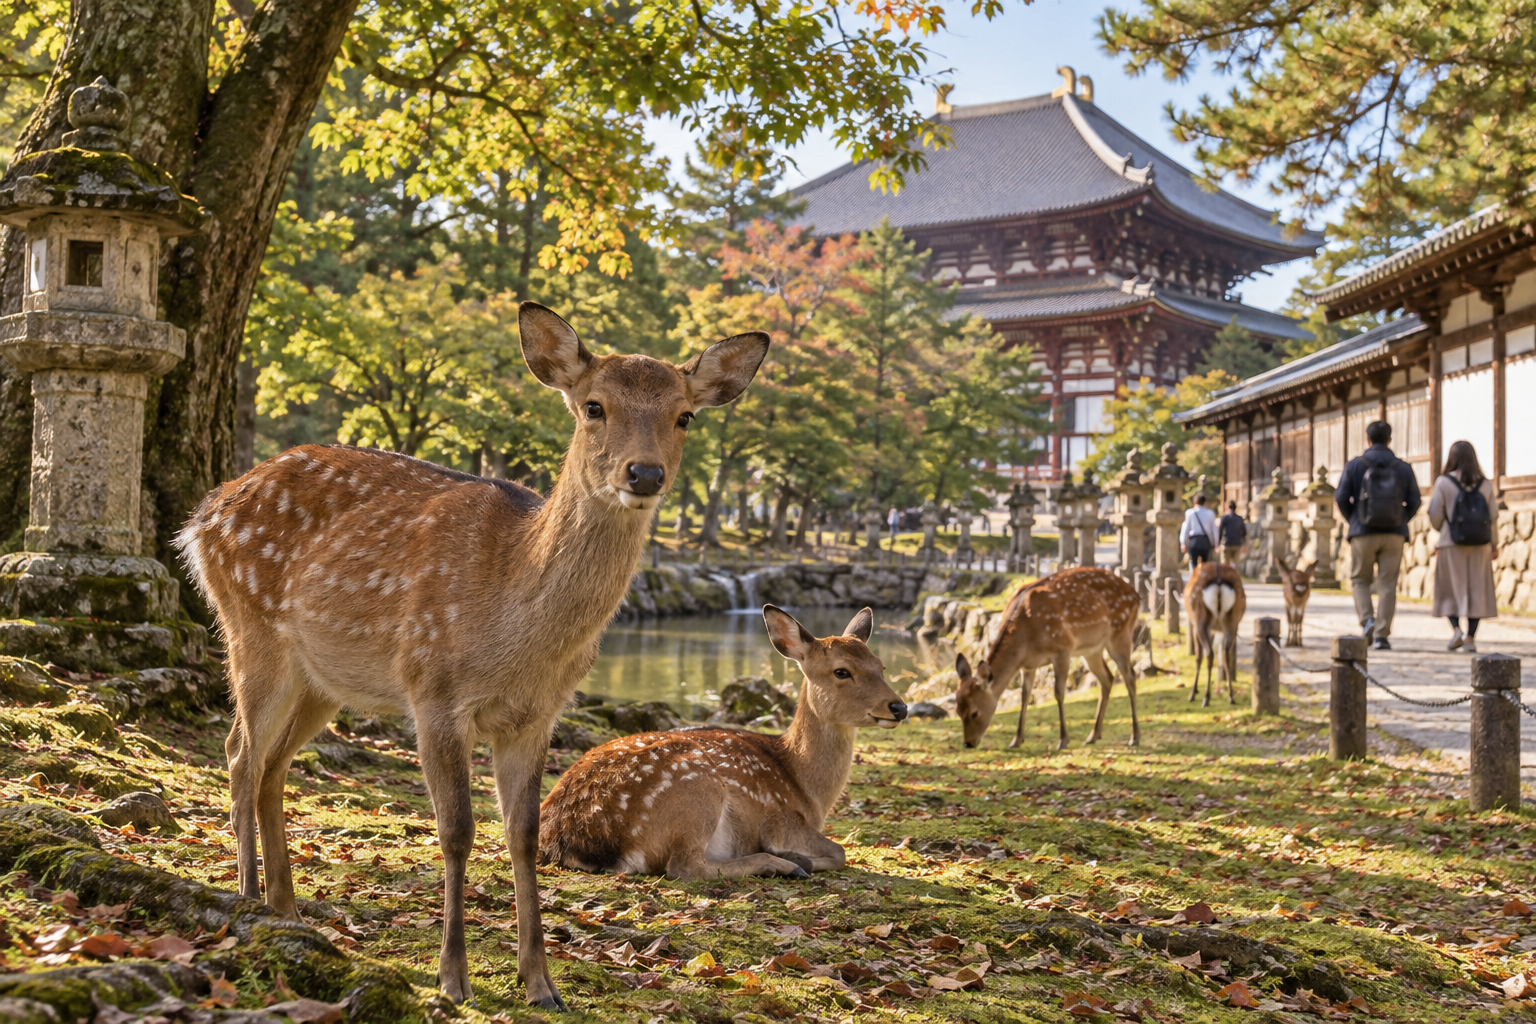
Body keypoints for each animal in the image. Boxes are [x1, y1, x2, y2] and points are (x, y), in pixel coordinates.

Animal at [173, 303, 768, 1010]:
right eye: (593, 406)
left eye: (685, 415)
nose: (644, 473)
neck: (513, 629)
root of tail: (202, 516)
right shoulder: (433, 691)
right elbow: (456, 831)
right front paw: (452, 979)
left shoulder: (536, 716)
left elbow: (524, 834)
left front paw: (540, 982)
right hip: (252, 630)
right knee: (239, 750)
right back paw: (246, 898)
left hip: (325, 679)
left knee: (271, 764)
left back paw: (287, 908)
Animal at [539, 605, 906, 879]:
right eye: (842, 671)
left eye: (881, 666)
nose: (899, 707)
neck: (807, 787)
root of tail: (568, 839)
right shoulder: (780, 818)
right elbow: (839, 850)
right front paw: (795, 856)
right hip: (696, 787)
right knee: (685, 867)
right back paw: (787, 865)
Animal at [952, 567, 1142, 750]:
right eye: (958, 711)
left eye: (974, 712)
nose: (968, 743)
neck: (1026, 638)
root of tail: (1136, 595)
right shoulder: (1028, 665)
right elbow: (1025, 696)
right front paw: (1016, 740)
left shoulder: (1063, 649)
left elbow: (1059, 692)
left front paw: (1063, 740)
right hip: (1091, 650)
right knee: (1107, 678)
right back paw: (1093, 736)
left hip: (1121, 634)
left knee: (1130, 677)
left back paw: (1134, 737)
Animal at [1184, 560, 1247, 706]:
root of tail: (1219, 581)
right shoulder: (1214, 630)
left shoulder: (1196, 626)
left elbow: (1198, 656)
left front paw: (1193, 692)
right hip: (1232, 623)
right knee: (1226, 653)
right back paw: (1231, 696)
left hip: (1201, 621)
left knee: (1209, 653)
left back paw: (1205, 697)